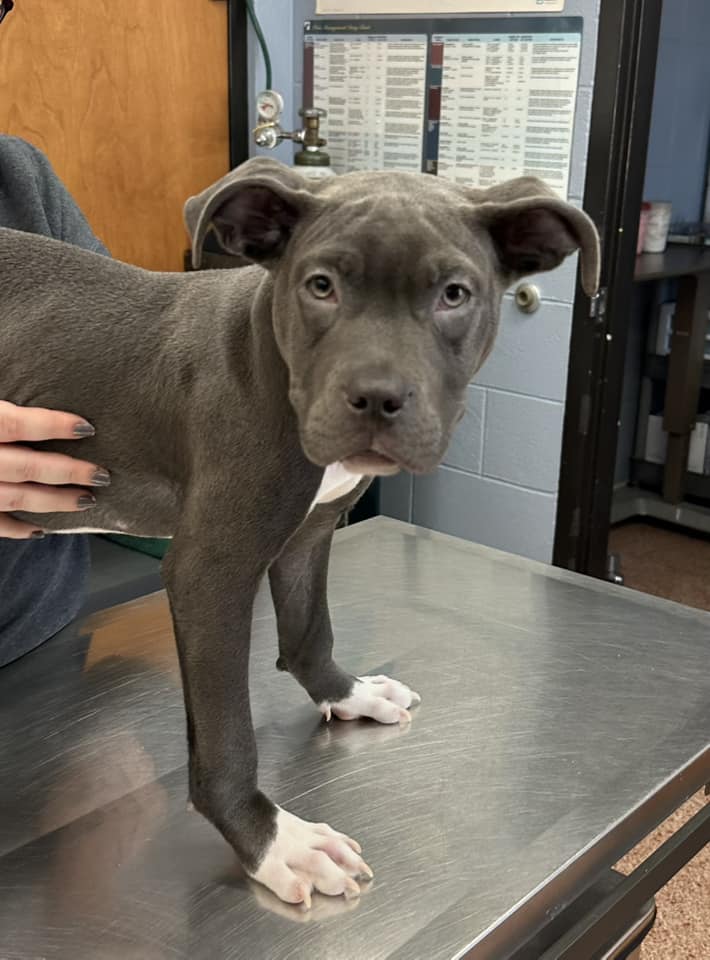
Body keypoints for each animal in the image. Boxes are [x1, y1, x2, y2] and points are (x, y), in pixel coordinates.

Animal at [0, 158, 600, 908]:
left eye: (454, 295)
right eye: (321, 286)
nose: (376, 398)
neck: (272, 359)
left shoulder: (309, 534)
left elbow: (312, 630)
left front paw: (348, 695)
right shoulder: (212, 570)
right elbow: (228, 738)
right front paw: (272, 841)